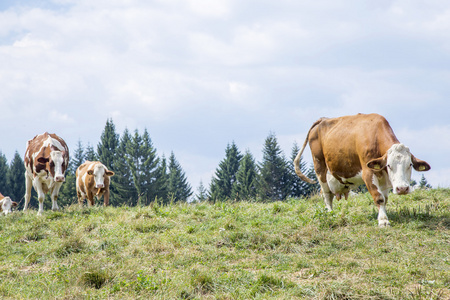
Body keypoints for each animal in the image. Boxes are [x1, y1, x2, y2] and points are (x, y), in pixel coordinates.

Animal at [294, 113, 430, 226]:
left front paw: (383, 216)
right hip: (319, 165)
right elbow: (379, 198)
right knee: (326, 193)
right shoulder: (368, 173)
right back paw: (330, 214)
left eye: (410, 165)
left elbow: (385, 199)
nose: (402, 189)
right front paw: (383, 221)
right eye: (389, 165)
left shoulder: (383, 177)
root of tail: (322, 119)